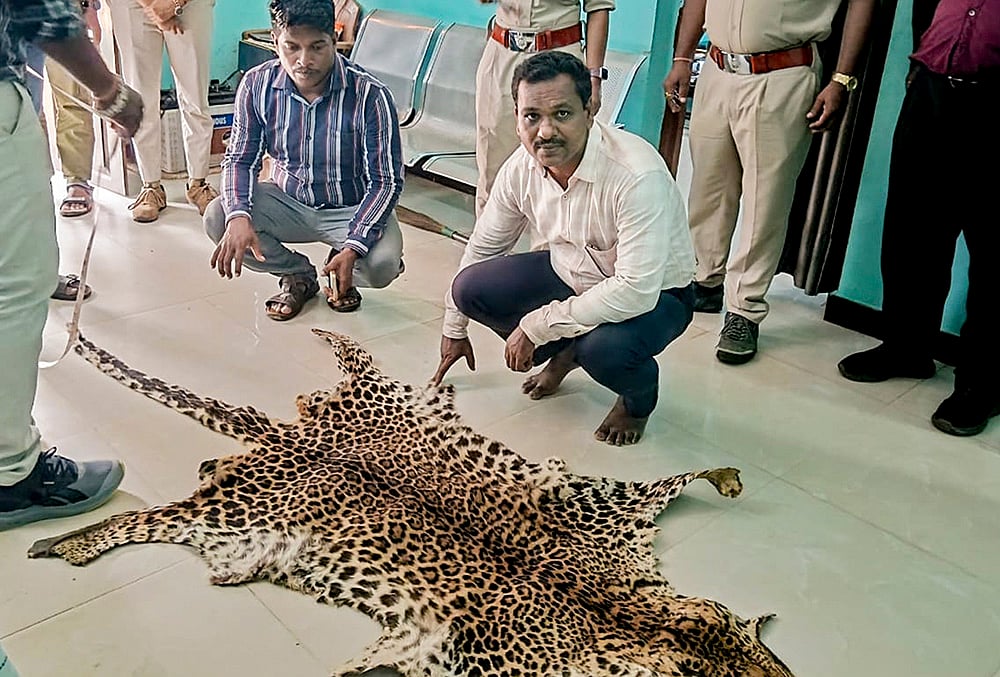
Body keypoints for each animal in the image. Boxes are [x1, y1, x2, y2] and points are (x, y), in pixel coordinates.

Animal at [29, 329, 795, 677]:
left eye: (763, 658)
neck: (631, 618)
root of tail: (290, 435)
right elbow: (677, 476)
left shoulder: (613, 510)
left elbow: (682, 475)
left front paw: (729, 476)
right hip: (231, 508)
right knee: (142, 518)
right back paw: (64, 542)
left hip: (368, 408)